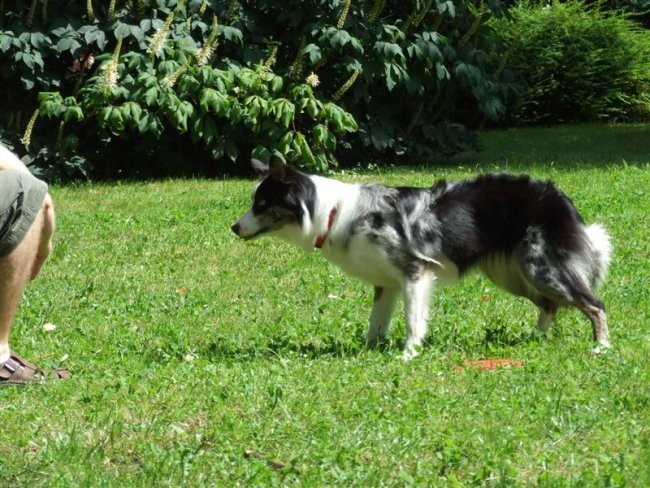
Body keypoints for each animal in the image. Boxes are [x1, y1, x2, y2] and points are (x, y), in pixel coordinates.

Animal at [230, 158, 612, 360]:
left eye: (261, 204)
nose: (234, 227)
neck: (333, 213)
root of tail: (559, 197)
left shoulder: (416, 271)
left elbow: (413, 319)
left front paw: (409, 354)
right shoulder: (385, 283)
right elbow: (376, 324)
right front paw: (372, 350)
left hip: (540, 266)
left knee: (594, 304)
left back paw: (601, 346)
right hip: (513, 272)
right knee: (549, 304)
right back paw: (537, 339)